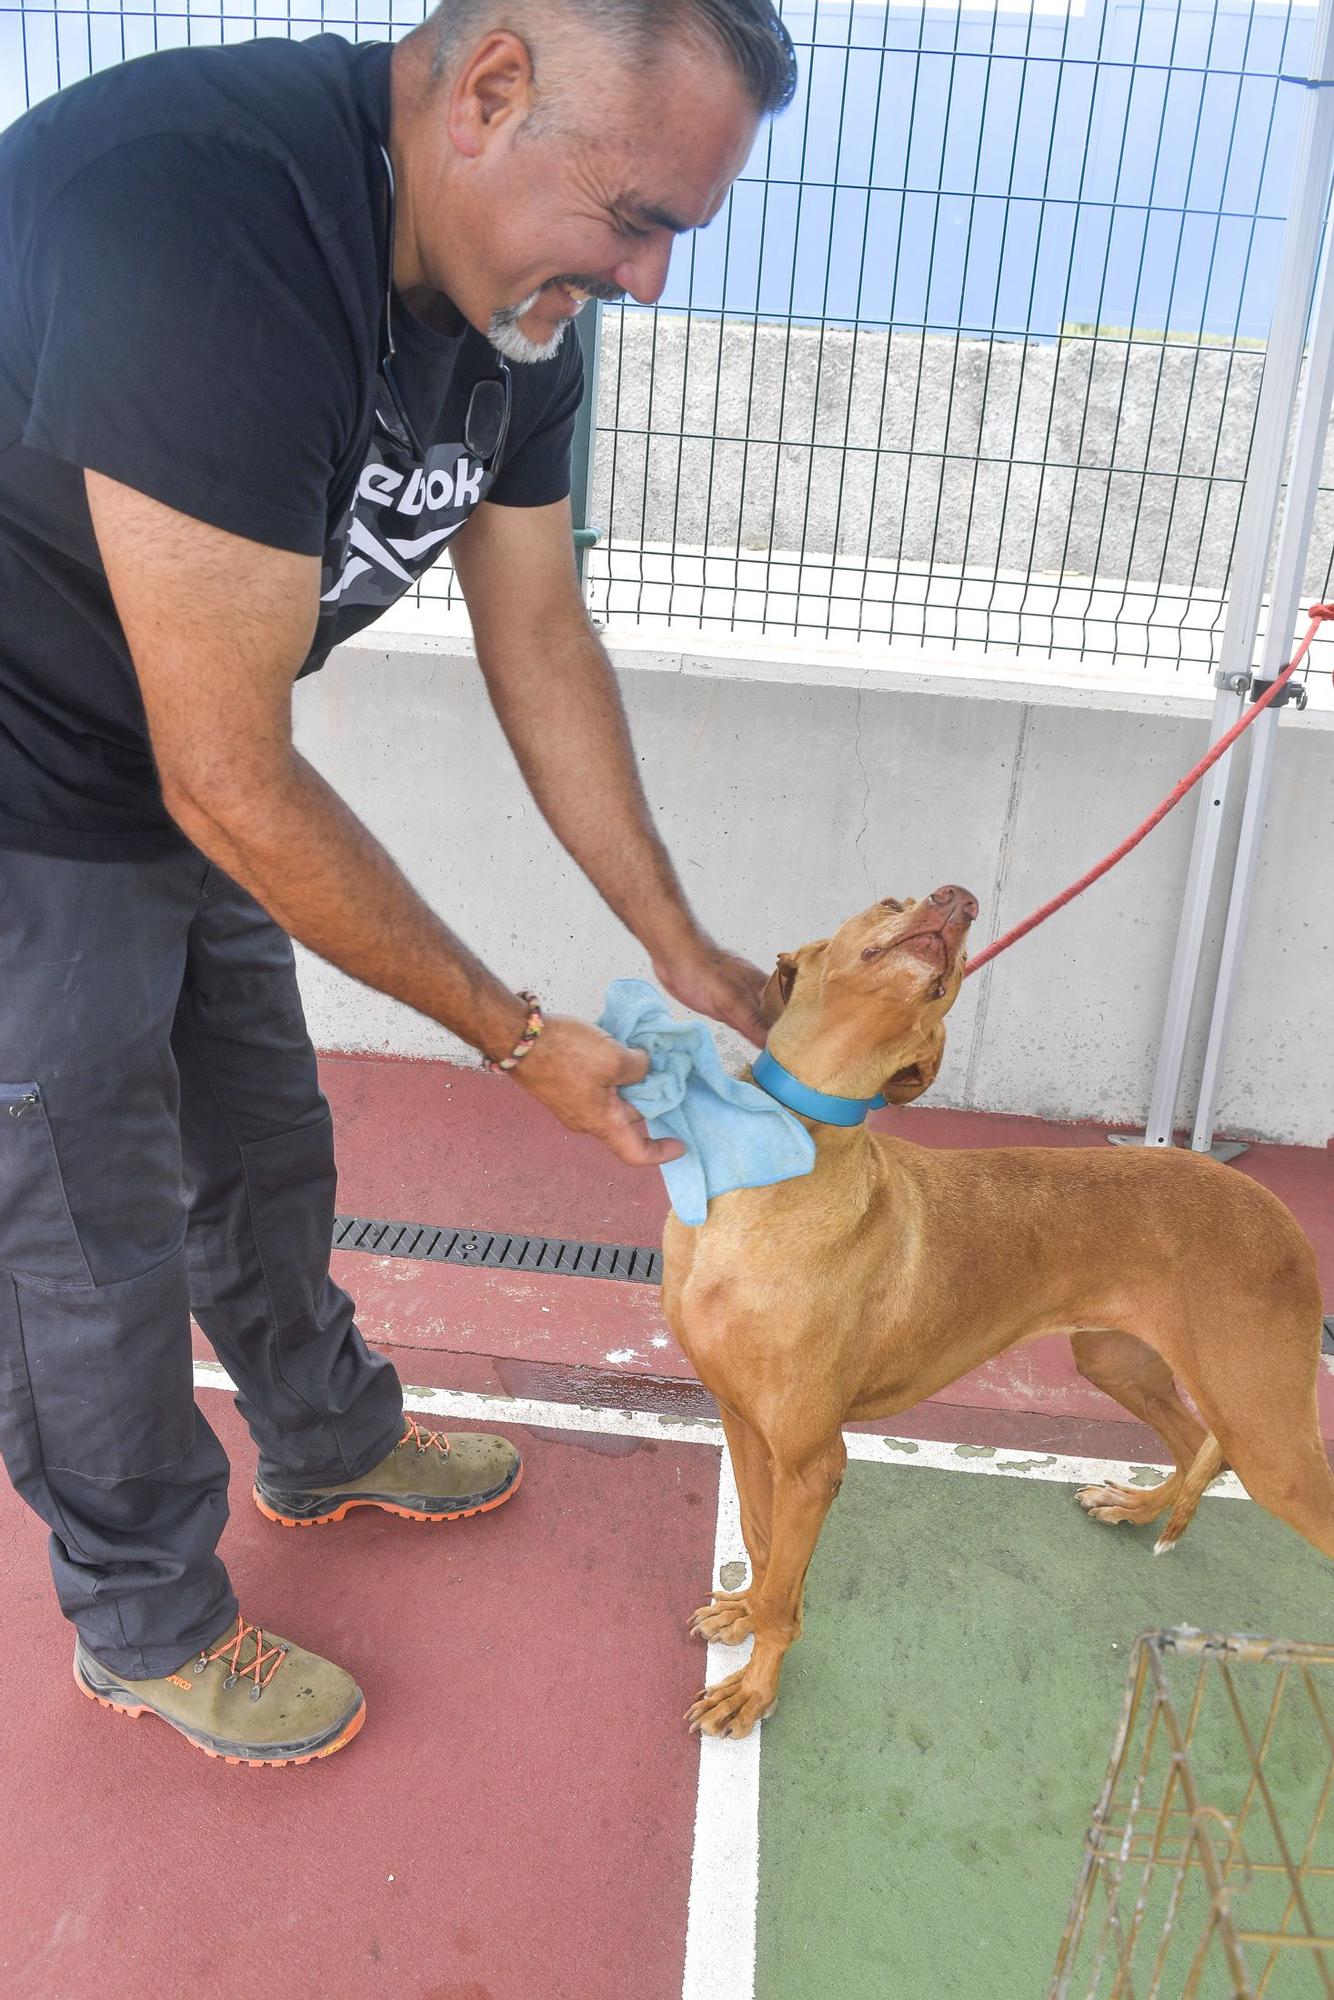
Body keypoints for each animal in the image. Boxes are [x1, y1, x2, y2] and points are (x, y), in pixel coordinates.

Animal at [660, 888, 1334, 1736]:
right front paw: (744, 1609)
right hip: (1117, 1360)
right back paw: (1135, 1506)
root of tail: (1278, 1211)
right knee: (1193, 1446)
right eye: (890, 900)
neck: (775, 1172)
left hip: (1268, 1436)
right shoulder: (743, 1420)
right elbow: (758, 1538)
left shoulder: (814, 1460)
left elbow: (789, 1592)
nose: (960, 901)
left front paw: (754, 1687)